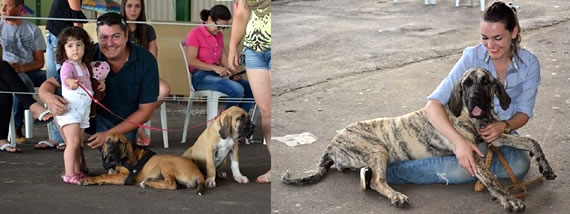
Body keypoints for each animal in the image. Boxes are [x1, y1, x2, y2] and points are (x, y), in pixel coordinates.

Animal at [280, 67, 556, 211]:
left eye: (487, 82)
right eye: (466, 83)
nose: (475, 98)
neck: (477, 118)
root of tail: (332, 142)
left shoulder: (494, 139)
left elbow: (531, 140)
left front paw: (546, 167)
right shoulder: (469, 153)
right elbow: (491, 178)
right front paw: (508, 199)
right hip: (378, 149)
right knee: (377, 181)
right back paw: (395, 196)